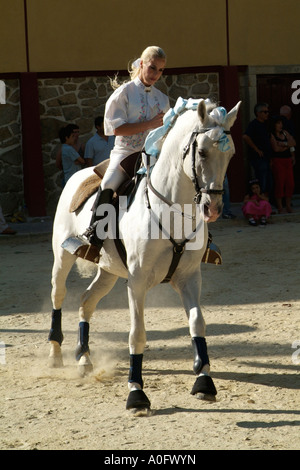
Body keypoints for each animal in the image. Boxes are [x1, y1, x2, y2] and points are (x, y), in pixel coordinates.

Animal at [49, 98, 241, 412]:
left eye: (231, 154)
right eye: (201, 151)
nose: (212, 208)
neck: (172, 209)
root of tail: (79, 174)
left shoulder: (189, 277)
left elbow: (197, 323)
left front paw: (204, 381)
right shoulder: (137, 282)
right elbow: (137, 335)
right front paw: (136, 393)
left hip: (109, 270)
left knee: (87, 300)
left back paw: (84, 357)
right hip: (62, 257)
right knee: (59, 294)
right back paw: (55, 352)